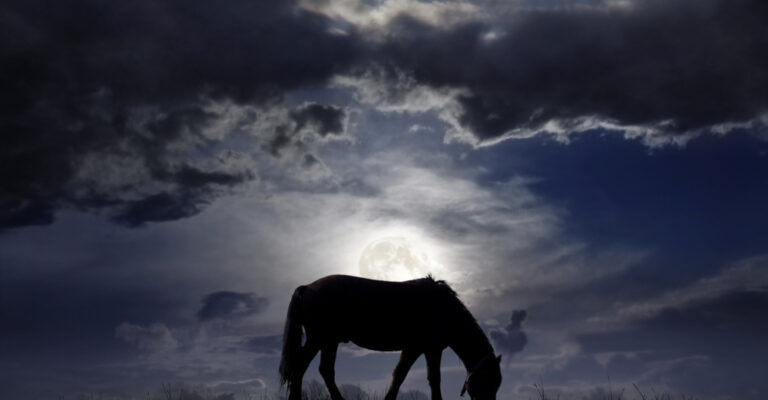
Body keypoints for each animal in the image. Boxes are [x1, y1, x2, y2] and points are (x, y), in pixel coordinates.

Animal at [279, 275, 502, 400]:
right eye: (489, 381)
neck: (444, 309)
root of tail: (307, 287)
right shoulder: (431, 349)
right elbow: (434, 379)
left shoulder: (413, 349)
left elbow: (399, 376)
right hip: (318, 339)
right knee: (300, 366)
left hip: (329, 342)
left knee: (325, 371)